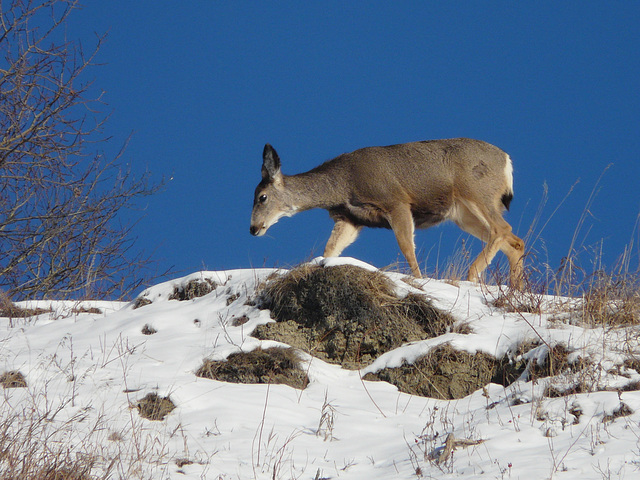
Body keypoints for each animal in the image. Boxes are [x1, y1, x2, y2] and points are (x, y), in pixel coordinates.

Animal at [250, 139, 524, 288]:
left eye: (262, 197)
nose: (253, 228)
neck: (343, 185)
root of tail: (507, 160)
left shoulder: (396, 201)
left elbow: (407, 247)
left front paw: (419, 281)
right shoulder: (351, 219)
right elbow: (330, 249)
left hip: (476, 192)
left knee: (502, 229)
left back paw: (472, 274)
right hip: (463, 214)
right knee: (515, 242)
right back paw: (515, 290)